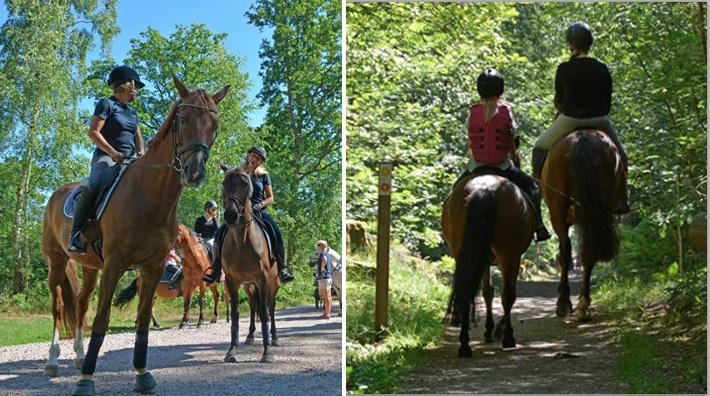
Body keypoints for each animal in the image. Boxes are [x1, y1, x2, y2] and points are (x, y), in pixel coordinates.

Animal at [41, 75, 229, 396]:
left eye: (214, 124)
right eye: (182, 119)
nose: (194, 172)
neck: (149, 195)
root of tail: (56, 194)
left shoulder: (151, 267)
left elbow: (142, 320)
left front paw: (142, 375)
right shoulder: (116, 264)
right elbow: (102, 319)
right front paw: (87, 381)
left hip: (90, 268)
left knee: (81, 305)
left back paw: (78, 357)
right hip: (57, 261)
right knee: (57, 306)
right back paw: (54, 362)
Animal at [220, 163, 280, 362]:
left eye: (245, 184)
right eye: (224, 183)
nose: (231, 216)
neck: (242, 241)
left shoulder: (263, 278)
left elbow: (265, 311)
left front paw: (267, 352)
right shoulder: (231, 280)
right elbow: (236, 313)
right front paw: (231, 350)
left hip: (273, 283)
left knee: (270, 306)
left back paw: (274, 338)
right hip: (248, 284)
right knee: (254, 304)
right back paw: (251, 336)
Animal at [442, 172, 536, 358]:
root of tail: (484, 189)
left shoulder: (482, 260)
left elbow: (487, 292)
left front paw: (488, 330)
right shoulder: (514, 258)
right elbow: (506, 294)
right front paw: (499, 331)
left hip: (464, 253)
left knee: (467, 289)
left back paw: (465, 344)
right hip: (508, 255)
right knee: (507, 295)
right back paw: (508, 338)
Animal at [544, 130, 624, 322]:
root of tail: (584, 137)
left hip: (558, 209)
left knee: (566, 249)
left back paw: (564, 302)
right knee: (589, 253)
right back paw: (583, 304)